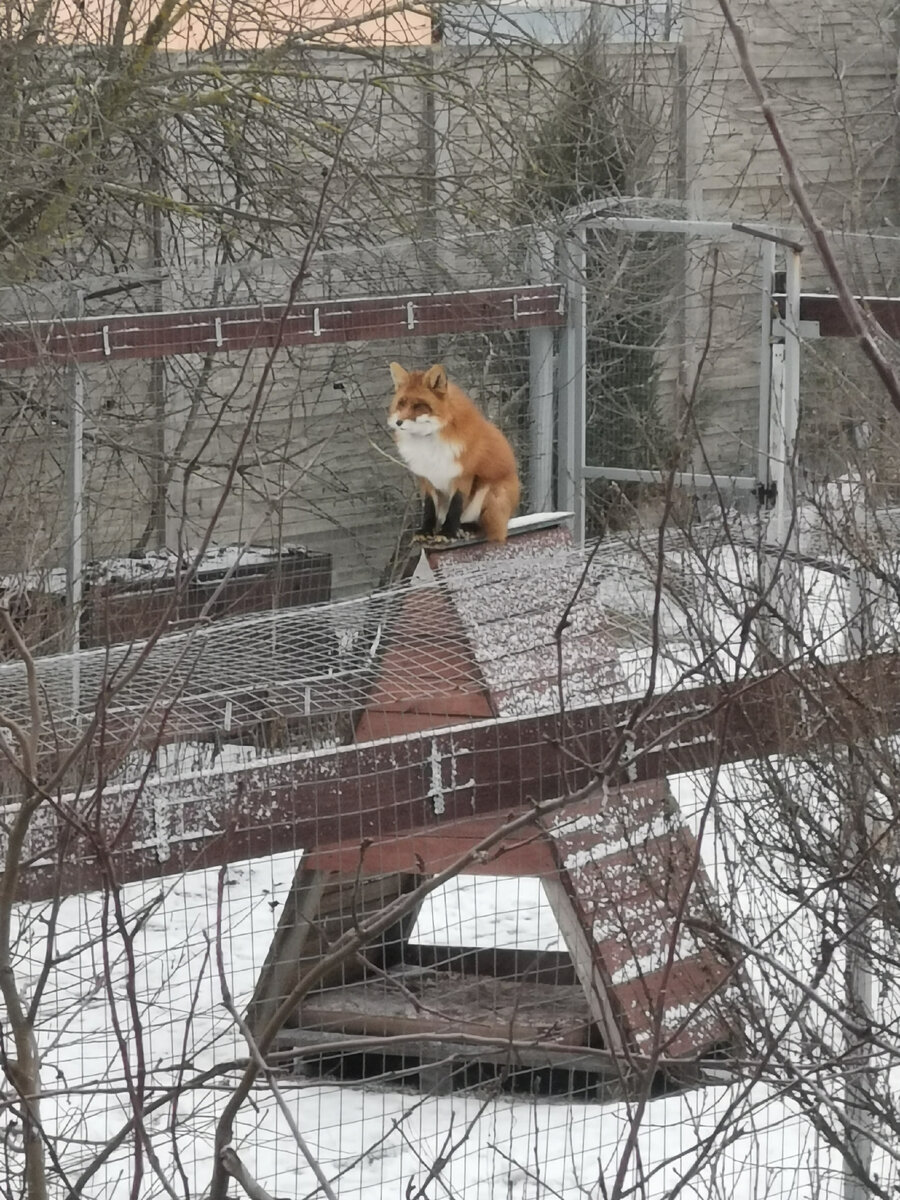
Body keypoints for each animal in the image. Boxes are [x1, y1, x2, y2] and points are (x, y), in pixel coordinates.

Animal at [388, 357, 520, 542]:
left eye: (419, 406)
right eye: (401, 403)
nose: (398, 422)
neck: (428, 442)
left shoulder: (462, 474)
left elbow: (455, 506)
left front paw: (447, 532)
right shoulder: (427, 477)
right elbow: (429, 508)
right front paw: (426, 531)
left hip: (490, 494)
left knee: (486, 527)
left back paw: (466, 528)